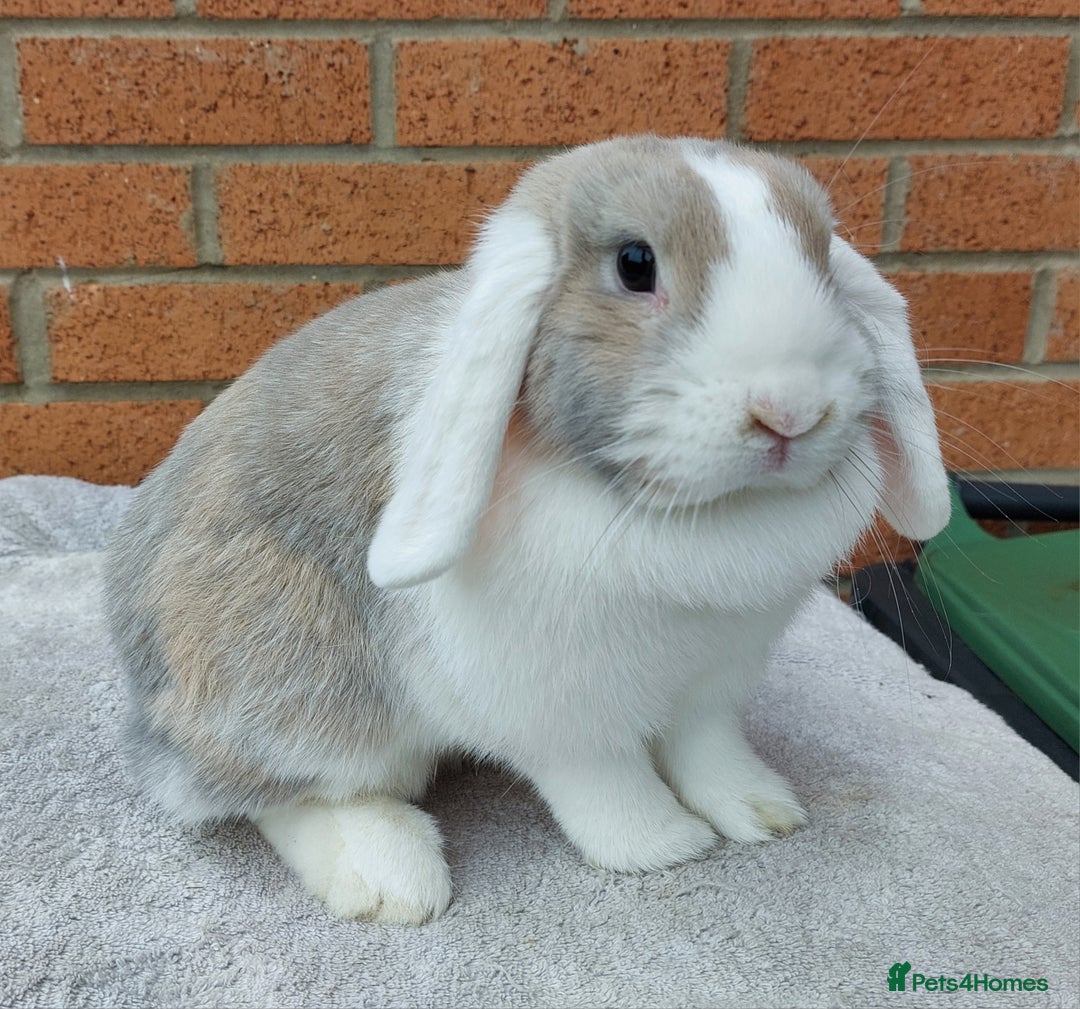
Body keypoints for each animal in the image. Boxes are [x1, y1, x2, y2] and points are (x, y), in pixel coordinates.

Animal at [105, 135, 950, 925]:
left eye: (821, 254)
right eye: (635, 264)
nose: (791, 411)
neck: (702, 514)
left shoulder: (713, 684)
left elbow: (708, 749)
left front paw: (763, 810)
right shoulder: (564, 712)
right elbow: (604, 780)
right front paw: (660, 845)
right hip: (292, 684)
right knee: (261, 791)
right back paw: (390, 876)